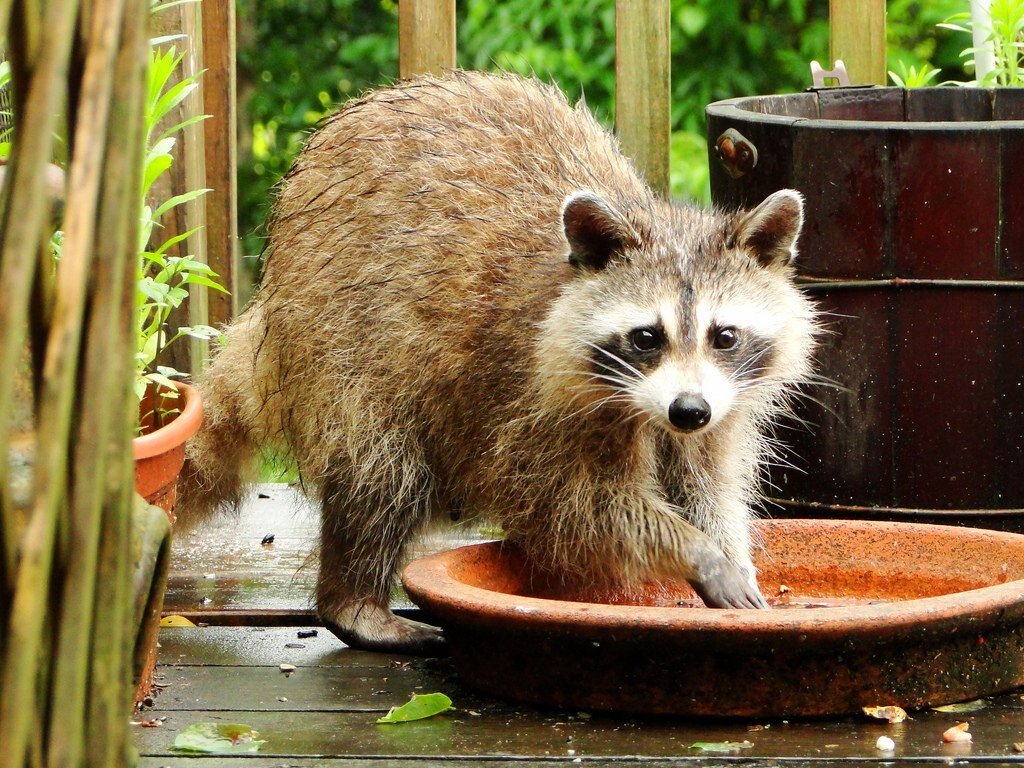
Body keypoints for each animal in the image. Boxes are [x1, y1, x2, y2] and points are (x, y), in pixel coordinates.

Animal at [176, 70, 815, 655]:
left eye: (724, 335)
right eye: (646, 337)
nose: (688, 411)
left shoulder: (721, 403)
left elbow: (708, 482)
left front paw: (728, 547)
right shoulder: (530, 400)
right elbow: (570, 509)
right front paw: (695, 550)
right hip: (338, 332)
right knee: (380, 467)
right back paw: (354, 600)